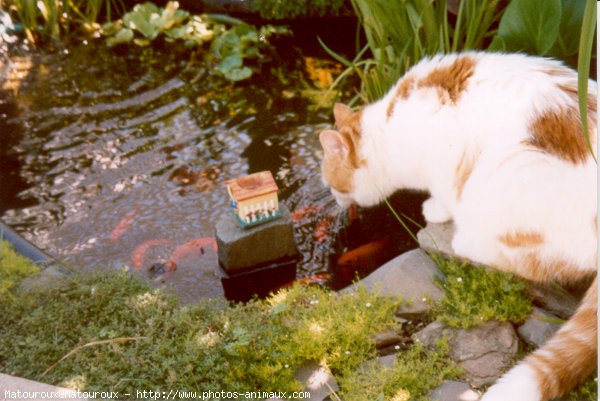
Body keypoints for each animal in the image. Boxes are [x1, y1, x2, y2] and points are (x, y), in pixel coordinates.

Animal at [318, 50, 596, 400]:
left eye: (333, 185)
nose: (334, 199)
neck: (388, 132)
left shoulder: (444, 165)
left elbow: (444, 195)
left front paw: (434, 209)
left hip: (510, 172)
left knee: (534, 263)